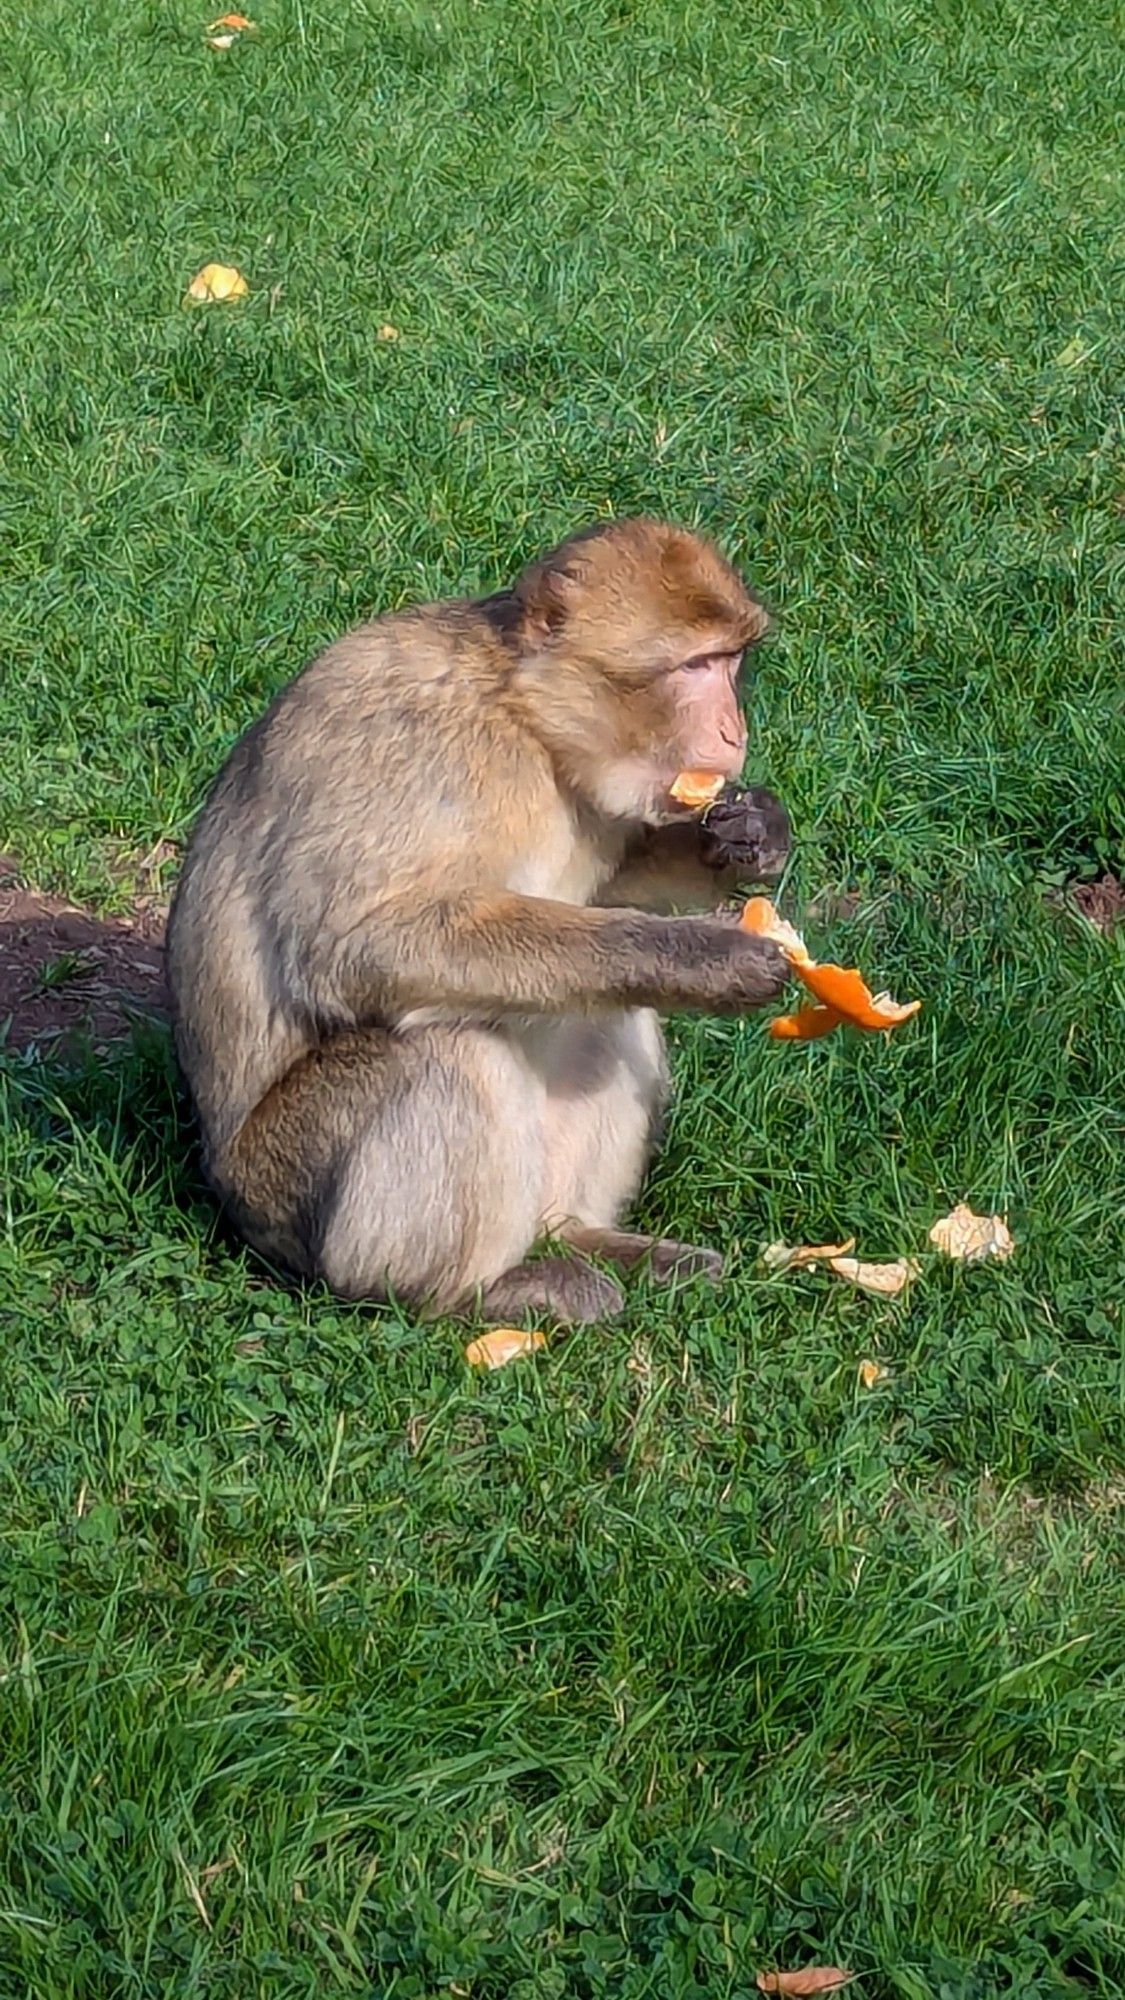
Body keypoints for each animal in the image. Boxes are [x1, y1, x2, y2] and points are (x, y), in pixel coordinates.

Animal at [168, 516, 788, 1328]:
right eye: (695, 665)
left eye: (730, 660)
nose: (731, 729)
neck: (523, 717)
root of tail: (223, 1184)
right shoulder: (415, 743)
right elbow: (353, 946)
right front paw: (695, 955)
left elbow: (608, 888)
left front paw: (748, 837)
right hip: (282, 1188)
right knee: (451, 1045)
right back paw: (475, 1291)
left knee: (600, 1009)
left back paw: (578, 1234)